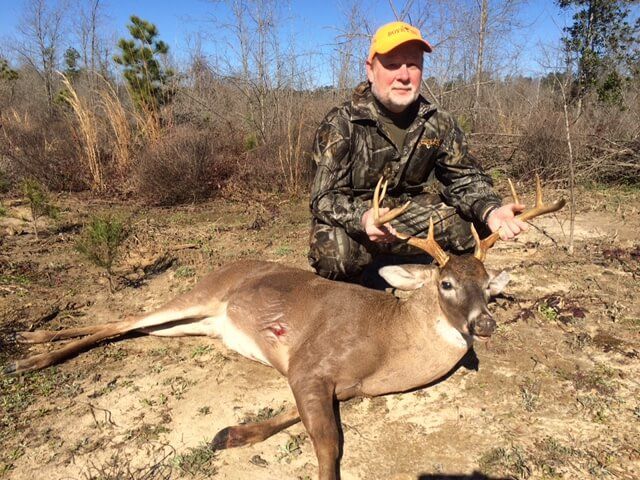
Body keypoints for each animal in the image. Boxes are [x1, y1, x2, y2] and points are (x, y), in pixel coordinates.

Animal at [5, 177, 565, 480]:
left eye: (488, 285)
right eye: (446, 283)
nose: (485, 323)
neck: (390, 346)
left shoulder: (341, 384)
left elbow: (298, 419)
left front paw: (229, 434)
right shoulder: (311, 362)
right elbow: (328, 443)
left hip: (199, 325)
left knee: (132, 329)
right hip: (201, 294)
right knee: (123, 319)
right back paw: (29, 351)